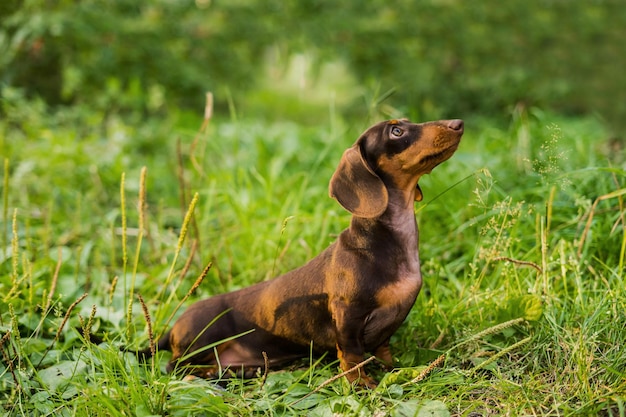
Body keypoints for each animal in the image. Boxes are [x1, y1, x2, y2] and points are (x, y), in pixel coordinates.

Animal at [144, 117, 460, 386]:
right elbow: (352, 356)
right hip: (203, 338)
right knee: (174, 366)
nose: (457, 124)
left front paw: (391, 369)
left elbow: (383, 351)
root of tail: (171, 328)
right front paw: (360, 384)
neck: (386, 239)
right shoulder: (348, 317)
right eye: (396, 131)